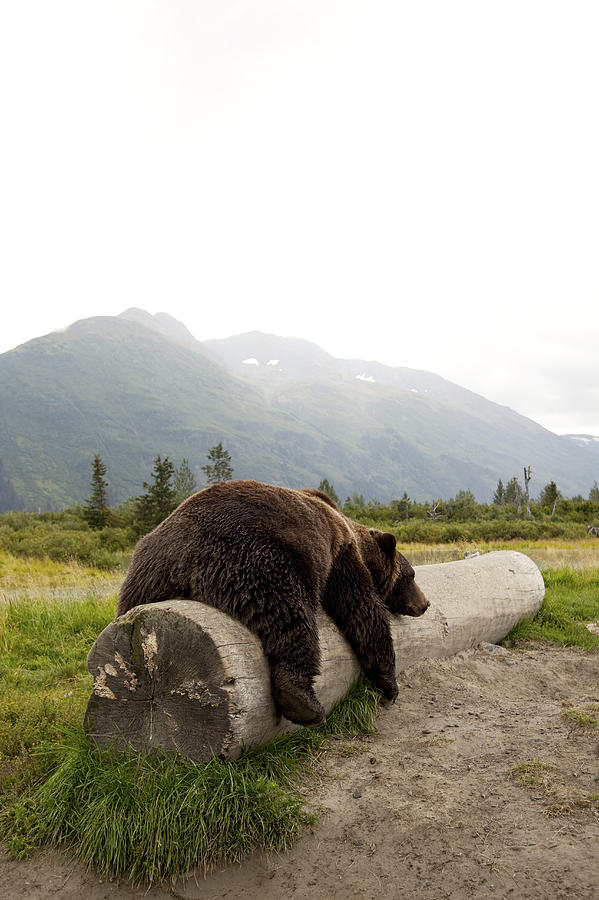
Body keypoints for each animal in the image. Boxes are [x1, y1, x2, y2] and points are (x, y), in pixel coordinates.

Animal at [117, 478, 428, 724]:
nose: (425, 604)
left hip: (144, 578)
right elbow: (362, 609)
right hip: (258, 557)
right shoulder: (339, 554)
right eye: (411, 575)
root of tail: (181, 556)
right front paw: (390, 684)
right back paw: (303, 702)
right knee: (290, 614)